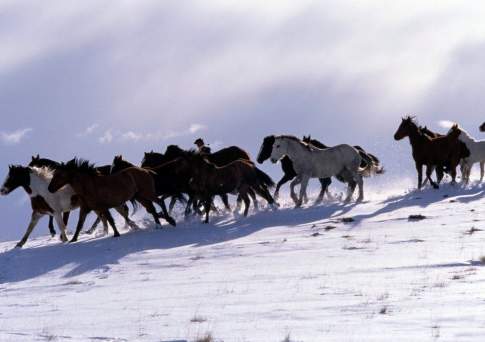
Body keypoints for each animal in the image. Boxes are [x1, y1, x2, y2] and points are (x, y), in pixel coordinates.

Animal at [47, 158, 175, 242]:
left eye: (59, 175)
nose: (49, 188)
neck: (89, 186)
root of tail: (145, 170)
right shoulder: (86, 208)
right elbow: (80, 224)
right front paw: (73, 240)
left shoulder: (102, 207)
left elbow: (110, 220)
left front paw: (116, 234)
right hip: (140, 197)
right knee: (152, 208)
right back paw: (159, 225)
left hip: (147, 193)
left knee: (160, 202)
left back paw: (170, 220)